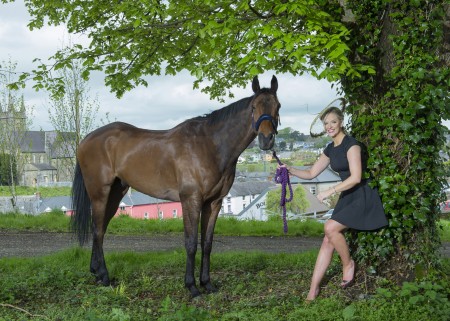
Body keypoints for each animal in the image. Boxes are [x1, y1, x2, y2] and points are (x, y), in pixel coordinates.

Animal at [71, 74, 282, 296]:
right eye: (254, 107)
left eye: (277, 106)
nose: (266, 139)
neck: (210, 145)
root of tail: (85, 140)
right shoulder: (191, 200)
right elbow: (190, 243)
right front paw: (192, 286)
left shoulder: (214, 202)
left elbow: (207, 243)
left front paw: (207, 283)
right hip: (99, 193)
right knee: (97, 230)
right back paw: (103, 277)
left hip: (115, 194)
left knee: (100, 229)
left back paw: (96, 272)